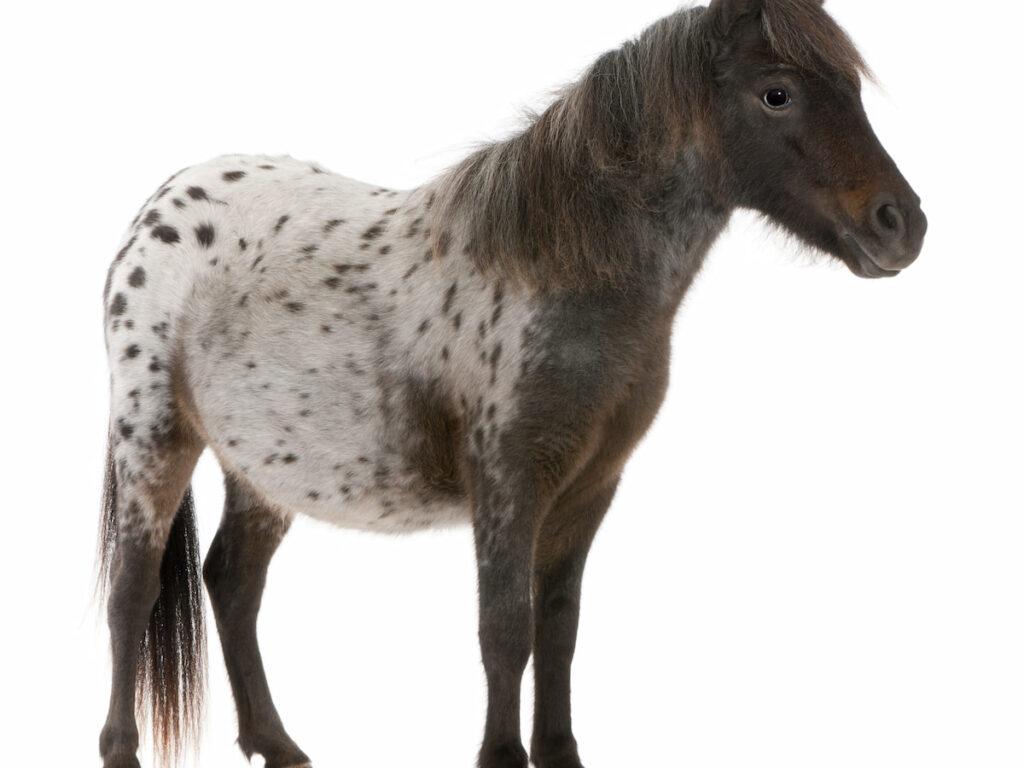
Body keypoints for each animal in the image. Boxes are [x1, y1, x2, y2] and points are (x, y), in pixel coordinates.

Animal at [96, 1, 927, 766]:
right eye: (776, 93)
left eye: (852, 87)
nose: (901, 226)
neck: (559, 272)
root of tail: (161, 206)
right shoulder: (509, 485)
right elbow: (505, 632)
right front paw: (502, 756)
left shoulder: (588, 490)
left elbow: (558, 628)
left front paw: (559, 752)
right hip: (155, 439)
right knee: (133, 590)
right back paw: (122, 748)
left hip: (263, 469)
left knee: (233, 583)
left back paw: (277, 743)